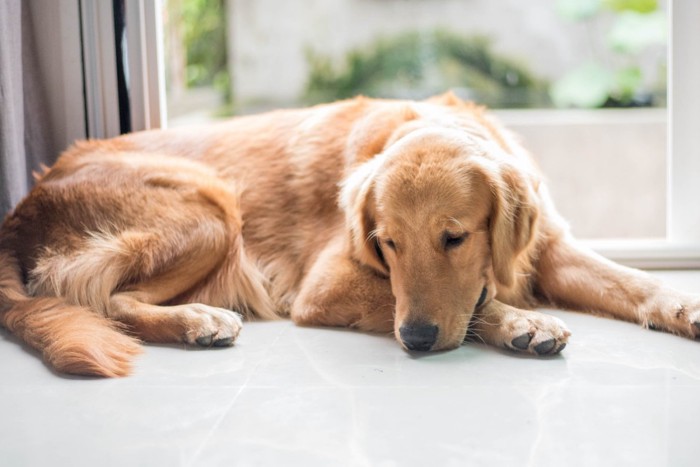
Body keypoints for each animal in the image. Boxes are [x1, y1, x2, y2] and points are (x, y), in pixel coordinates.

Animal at [1, 93, 700, 378]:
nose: (414, 341)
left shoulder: (548, 247)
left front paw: (684, 305)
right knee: (101, 298)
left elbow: (634, 281)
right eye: (386, 243)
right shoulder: (325, 285)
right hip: (210, 209)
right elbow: (461, 306)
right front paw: (520, 322)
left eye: (454, 238)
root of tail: (19, 208)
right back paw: (198, 320)